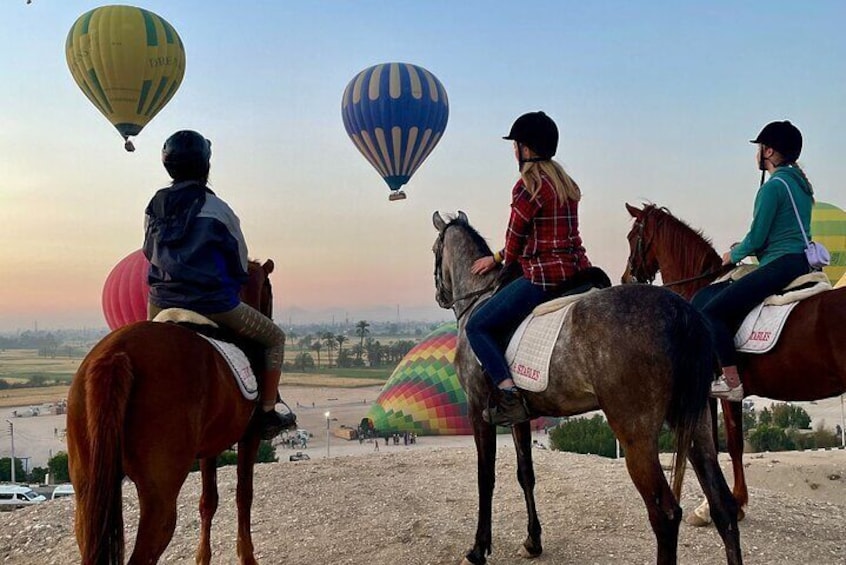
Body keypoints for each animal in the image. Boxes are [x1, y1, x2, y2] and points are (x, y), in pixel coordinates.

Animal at [68, 260, 278, 564]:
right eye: (269, 291)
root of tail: (117, 354)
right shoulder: (249, 436)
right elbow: (244, 494)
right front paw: (247, 557)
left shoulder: (210, 445)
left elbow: (208, 500)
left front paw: (203, 557)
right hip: (159, 496)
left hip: (87, 486)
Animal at [434, 213, 744, 564]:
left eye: (435, 250)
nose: (441, 296)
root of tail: (682, 312)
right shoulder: (519, 416)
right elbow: (525, 472)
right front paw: (532, 541)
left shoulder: (477, 409)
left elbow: (485, 477)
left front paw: (478, 549)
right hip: (695, 421)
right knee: (723, 505)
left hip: (636, 434)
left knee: (665, 513)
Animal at [624, 203, 846, 516]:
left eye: (632, 237)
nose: (626, 278)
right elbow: (734, 442)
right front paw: (735, 500)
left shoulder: (711, 392)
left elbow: (720, 444)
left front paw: (714, 505)